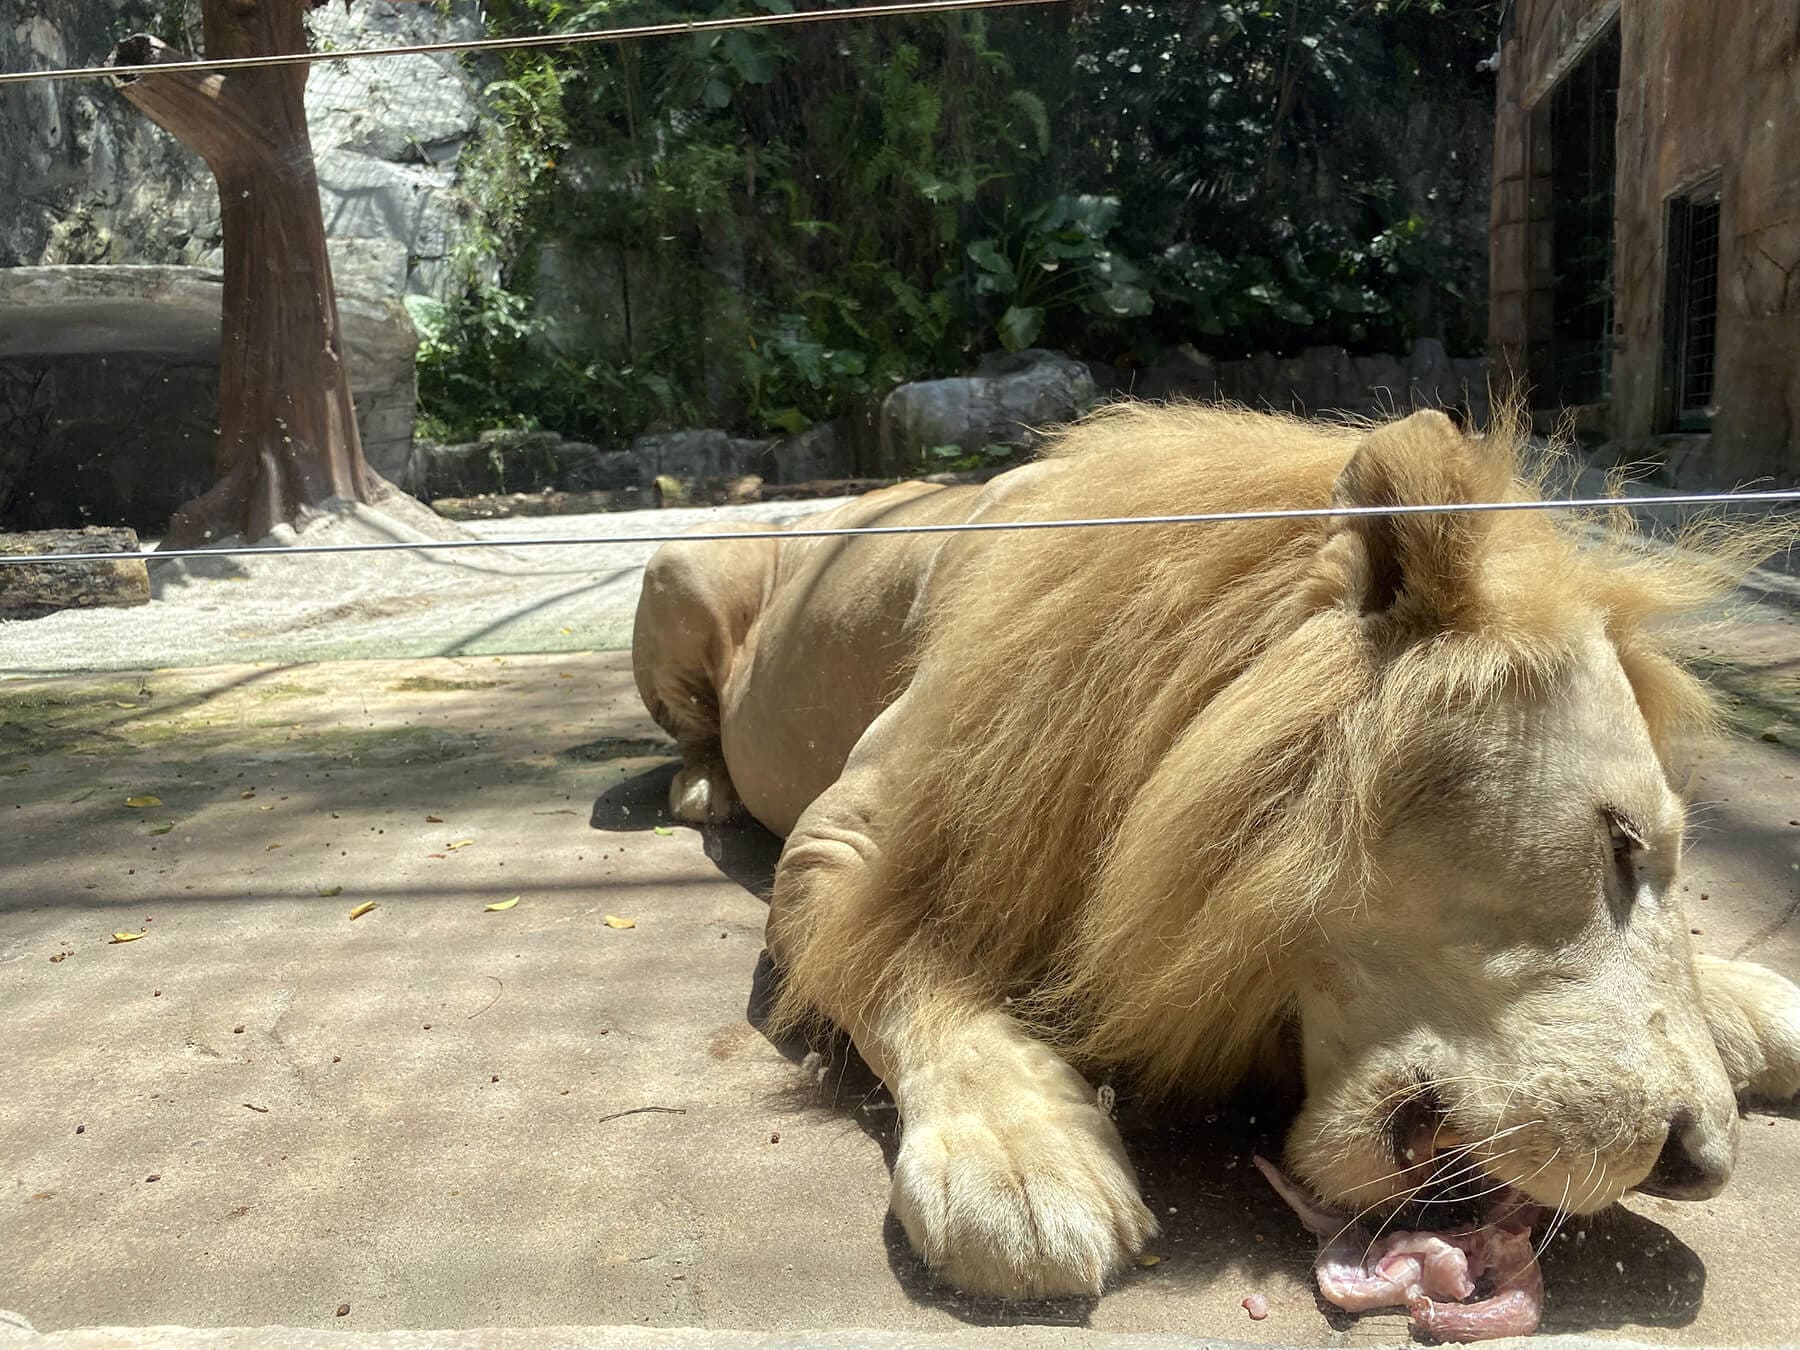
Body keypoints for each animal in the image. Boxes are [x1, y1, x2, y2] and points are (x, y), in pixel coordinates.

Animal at [630, 406, 1800, 1303]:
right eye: (1618, 843)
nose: (1700, 1169)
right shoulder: (847, 842)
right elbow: (913, 969)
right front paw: (1019, 1162)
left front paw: (1749, 1002)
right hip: (679, 565)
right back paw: (702, 788)